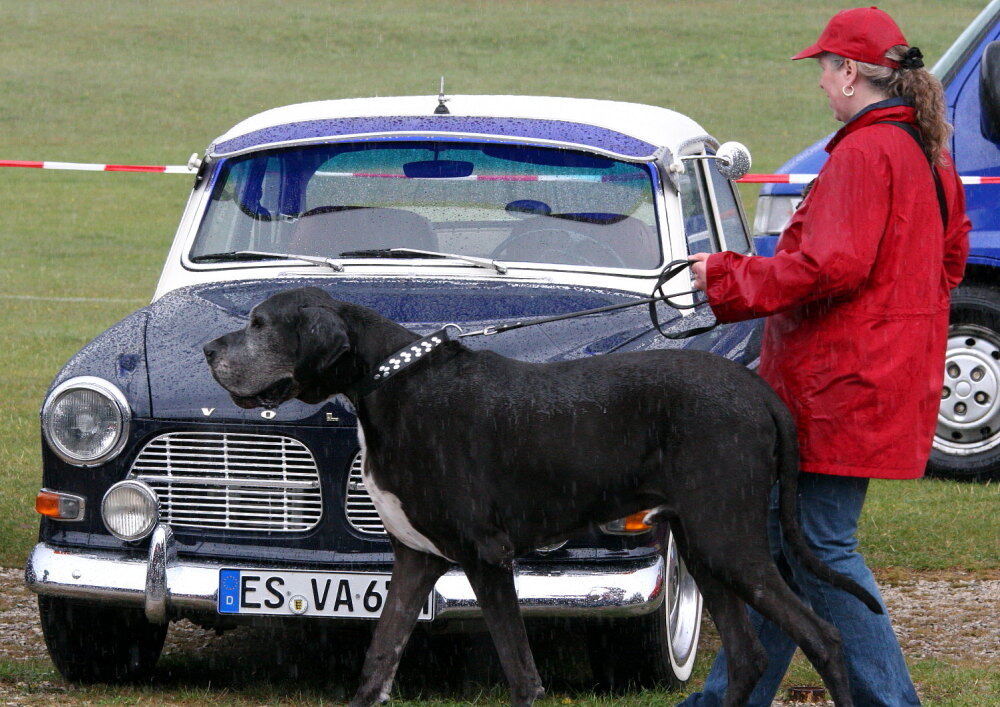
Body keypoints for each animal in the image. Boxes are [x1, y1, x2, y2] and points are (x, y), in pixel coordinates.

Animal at [207, 288, 880, 707]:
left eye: (260, 325)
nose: (210, 350)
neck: (391, 380)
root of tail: (757, 390)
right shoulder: (415, 560)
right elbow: (378, 661)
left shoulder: (486, 557)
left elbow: (521, 672)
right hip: (706, 548)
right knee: (748, 657)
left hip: (728, 540)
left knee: (824, 636)